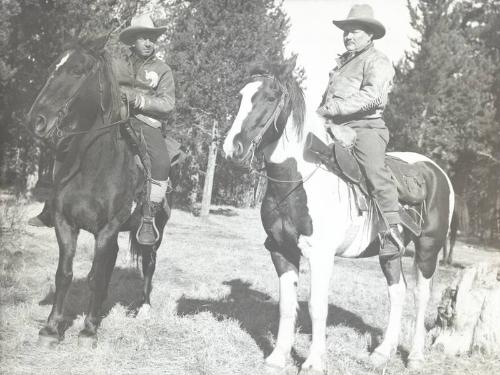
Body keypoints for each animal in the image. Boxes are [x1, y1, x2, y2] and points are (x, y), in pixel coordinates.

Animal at [24, 36, 170, 348]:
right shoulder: (66, 224)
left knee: (149, 265)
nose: (36, 121)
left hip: (154, 235)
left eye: (77, 71)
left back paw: (143, 307)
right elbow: (66, 274)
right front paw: (51, 329)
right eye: (53, 68)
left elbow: (95, 277)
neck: (93, 166)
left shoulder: (107, 229)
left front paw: (88, 330)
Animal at [223, 58, 454, 374]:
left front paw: (313, 362)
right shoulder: (281, 250)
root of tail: (436, 172)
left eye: (270, 97)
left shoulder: (321, 256)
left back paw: (416, 357)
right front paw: (277, 357)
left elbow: (317, 307)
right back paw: (381, 353)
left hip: (428, 248)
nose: (232, 149)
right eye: (240, 97)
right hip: (390, 251)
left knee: (422, 296)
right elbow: (287, 305)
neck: (297, 181)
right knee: (398, 291)